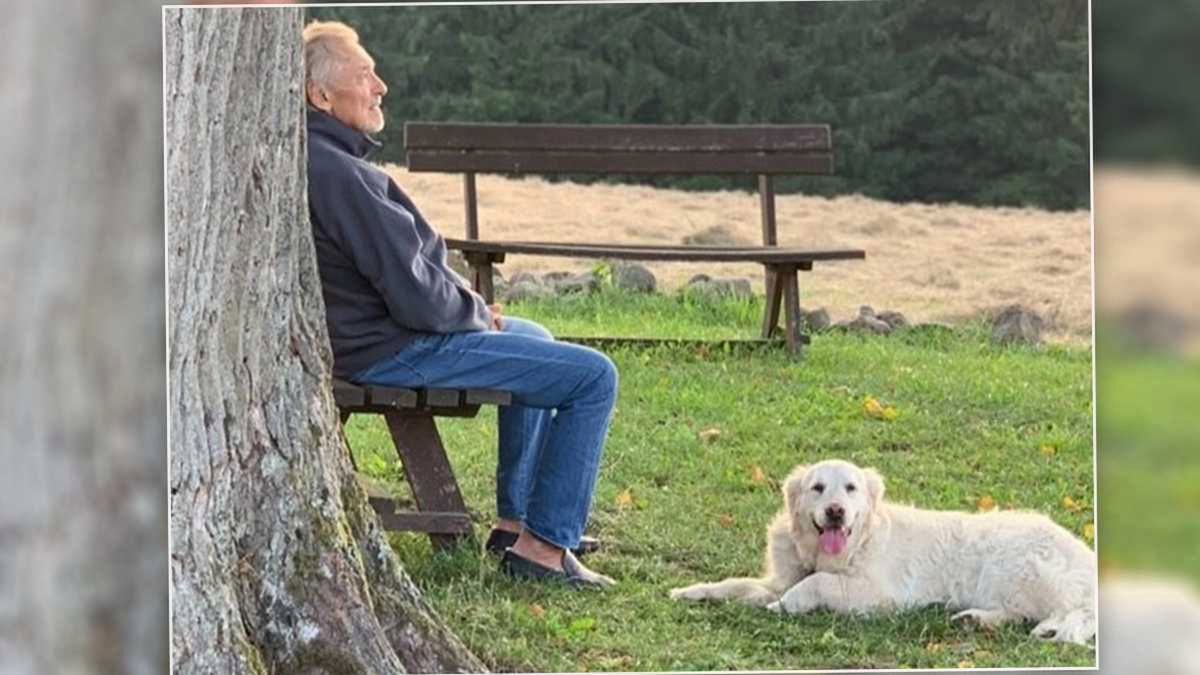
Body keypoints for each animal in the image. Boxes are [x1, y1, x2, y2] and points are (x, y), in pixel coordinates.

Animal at [667, 456, 1099, 638]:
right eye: (817, 488)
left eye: (851, 488)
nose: (836, 512)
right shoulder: (777, 577)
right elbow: (733, 583)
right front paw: (689, 591)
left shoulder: (880, 595)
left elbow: (815, 583)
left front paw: (788, 605)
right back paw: (975, 619)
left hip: (1015, 569)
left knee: (1055, 611)